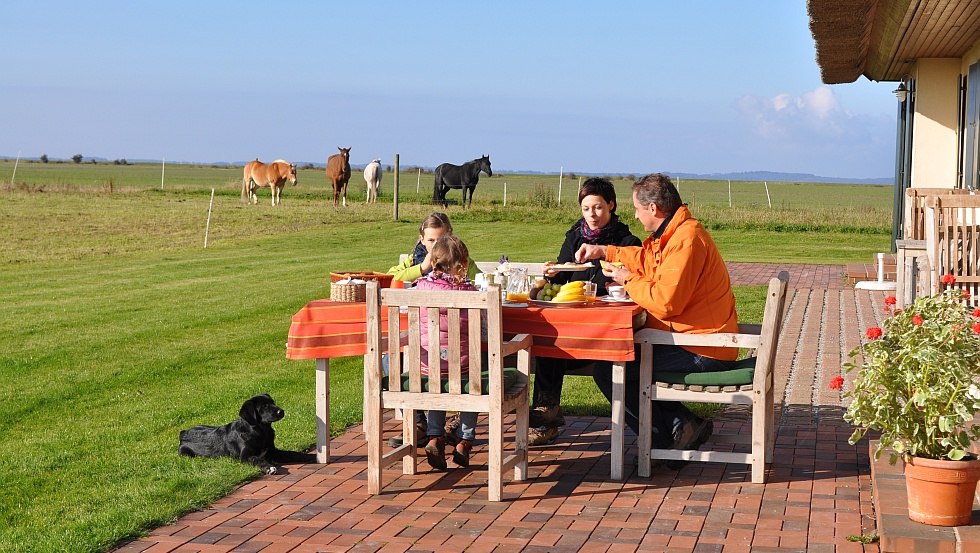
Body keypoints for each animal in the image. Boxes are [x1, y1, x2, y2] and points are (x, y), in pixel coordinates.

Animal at [177, 392, 314, 474]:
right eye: (264, 406)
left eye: (273, 402)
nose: (281, 411)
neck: (261, 432)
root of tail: (183, 433)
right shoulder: (245, 456)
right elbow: (256, 459)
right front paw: (268, 467)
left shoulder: (273, 452)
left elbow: (294, 454)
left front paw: (313, 457)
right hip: (185, 453)